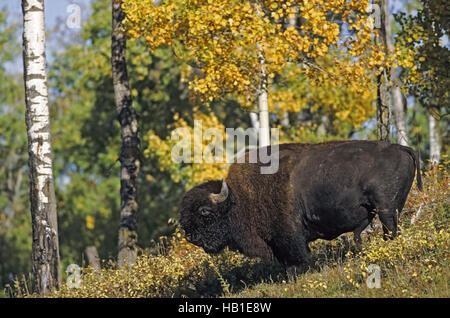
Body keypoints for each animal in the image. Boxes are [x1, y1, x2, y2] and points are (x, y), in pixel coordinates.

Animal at [178, 140, 422, 268]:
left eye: (205, 212)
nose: (190, 236)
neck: (239, 199)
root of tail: (400, 148)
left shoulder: (289, 237)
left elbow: (299, 259)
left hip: (386, 209)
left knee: (390, 229)